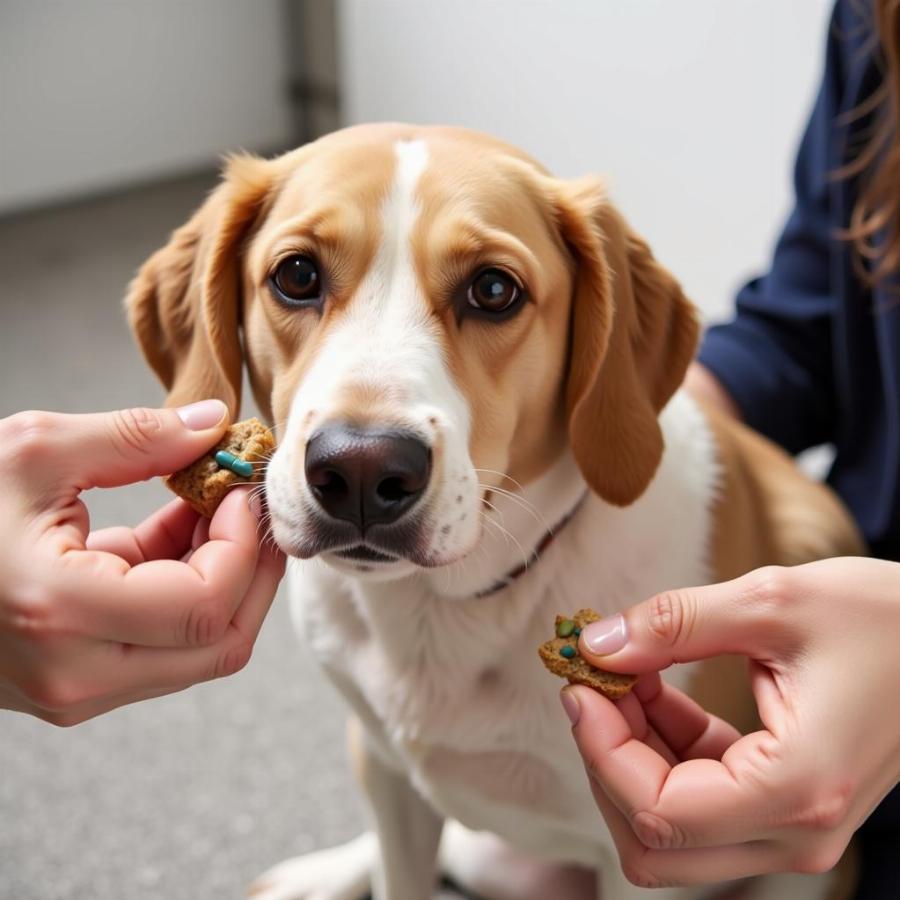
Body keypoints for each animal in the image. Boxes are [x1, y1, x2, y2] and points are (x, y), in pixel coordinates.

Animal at [126, 121, 864, 900]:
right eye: (296, 276)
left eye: (493, 290)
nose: (360, 469)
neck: (441, 610)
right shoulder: (389, 779)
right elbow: (397, 869)